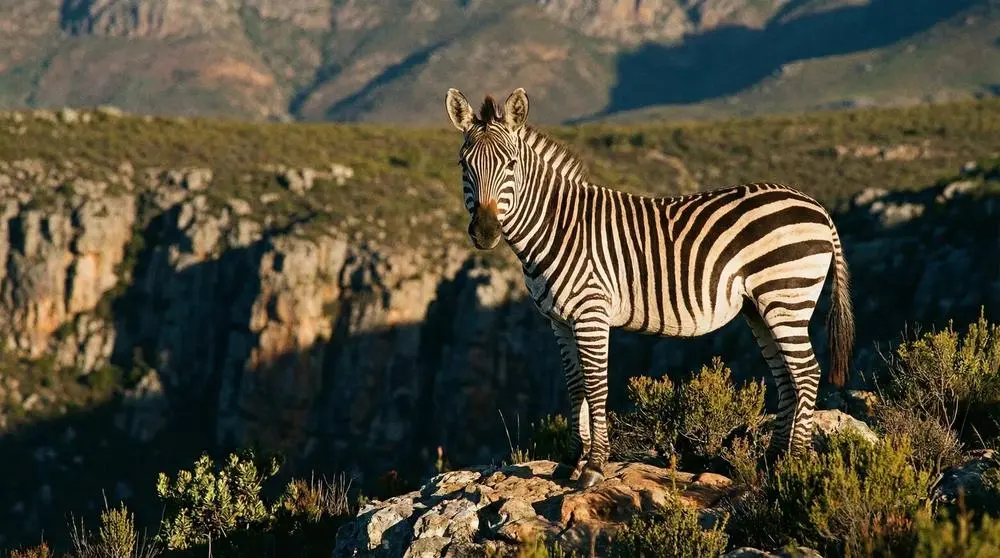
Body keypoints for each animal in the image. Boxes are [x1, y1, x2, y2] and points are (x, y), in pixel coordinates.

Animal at [444, 87, 854, 488]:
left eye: (511, 164)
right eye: (464, 165)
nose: (485, 233)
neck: (557, 227)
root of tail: (816, 206)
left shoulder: (591, 312)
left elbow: (596, 385)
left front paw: (594, 466)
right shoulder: (558, 321)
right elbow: (575, 387)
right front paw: (570, 463)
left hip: (786, 295)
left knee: (806, 373)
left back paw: (794, 465)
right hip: (760, 307)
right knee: (786, 376)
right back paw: (773, 460)